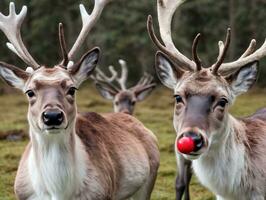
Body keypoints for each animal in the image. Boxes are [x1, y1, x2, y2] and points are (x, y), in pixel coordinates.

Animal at [0, 1, 159, 200]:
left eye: (72, 88)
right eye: (29, 92)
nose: (52, 116)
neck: (58, 192)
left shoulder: (102, 192)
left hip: (148, 179)